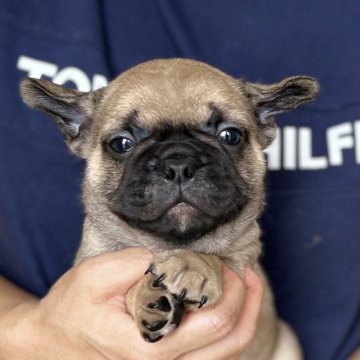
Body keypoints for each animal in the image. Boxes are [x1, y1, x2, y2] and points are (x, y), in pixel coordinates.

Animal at [20, 57, 318, 358]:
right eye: (121, 143)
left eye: (230, 136)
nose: (178, 163)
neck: (169, 243)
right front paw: (151, 297)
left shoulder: (245, 258)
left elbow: (220, 256)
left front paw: (193, 264)